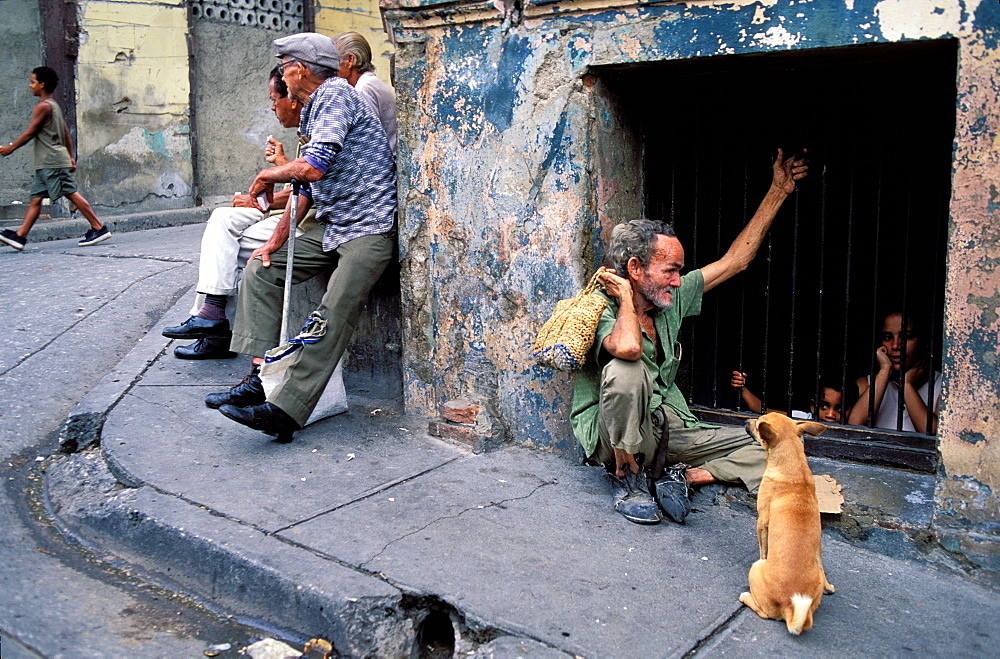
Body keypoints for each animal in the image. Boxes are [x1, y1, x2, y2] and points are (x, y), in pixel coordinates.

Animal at [740, 416, 832, 636]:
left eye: (758, 423)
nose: (747, 420)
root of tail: (789, 606)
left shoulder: (762, 522)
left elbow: (763, 548)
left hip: (755, 568)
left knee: (763, 612)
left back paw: (746, 597)